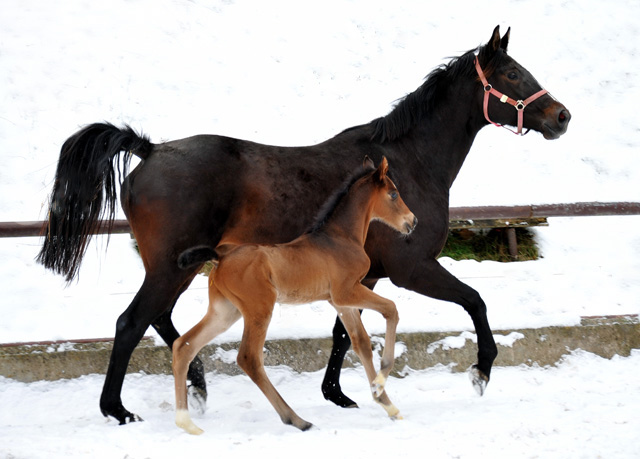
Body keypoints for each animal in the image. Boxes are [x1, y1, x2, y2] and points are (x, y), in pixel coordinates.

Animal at [172, 158, 418, 434]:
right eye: (394, 194)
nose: (413, 221)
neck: (341, 238)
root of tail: (220, 257)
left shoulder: (339, 302)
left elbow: (361, 343)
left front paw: (386, 402)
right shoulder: (348, 291)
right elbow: (391, 309)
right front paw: (382, 377)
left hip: (224, 311)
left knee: (184, 346)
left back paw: (186, 422)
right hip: (259, 310)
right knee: (249, 358)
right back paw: (297, 419)